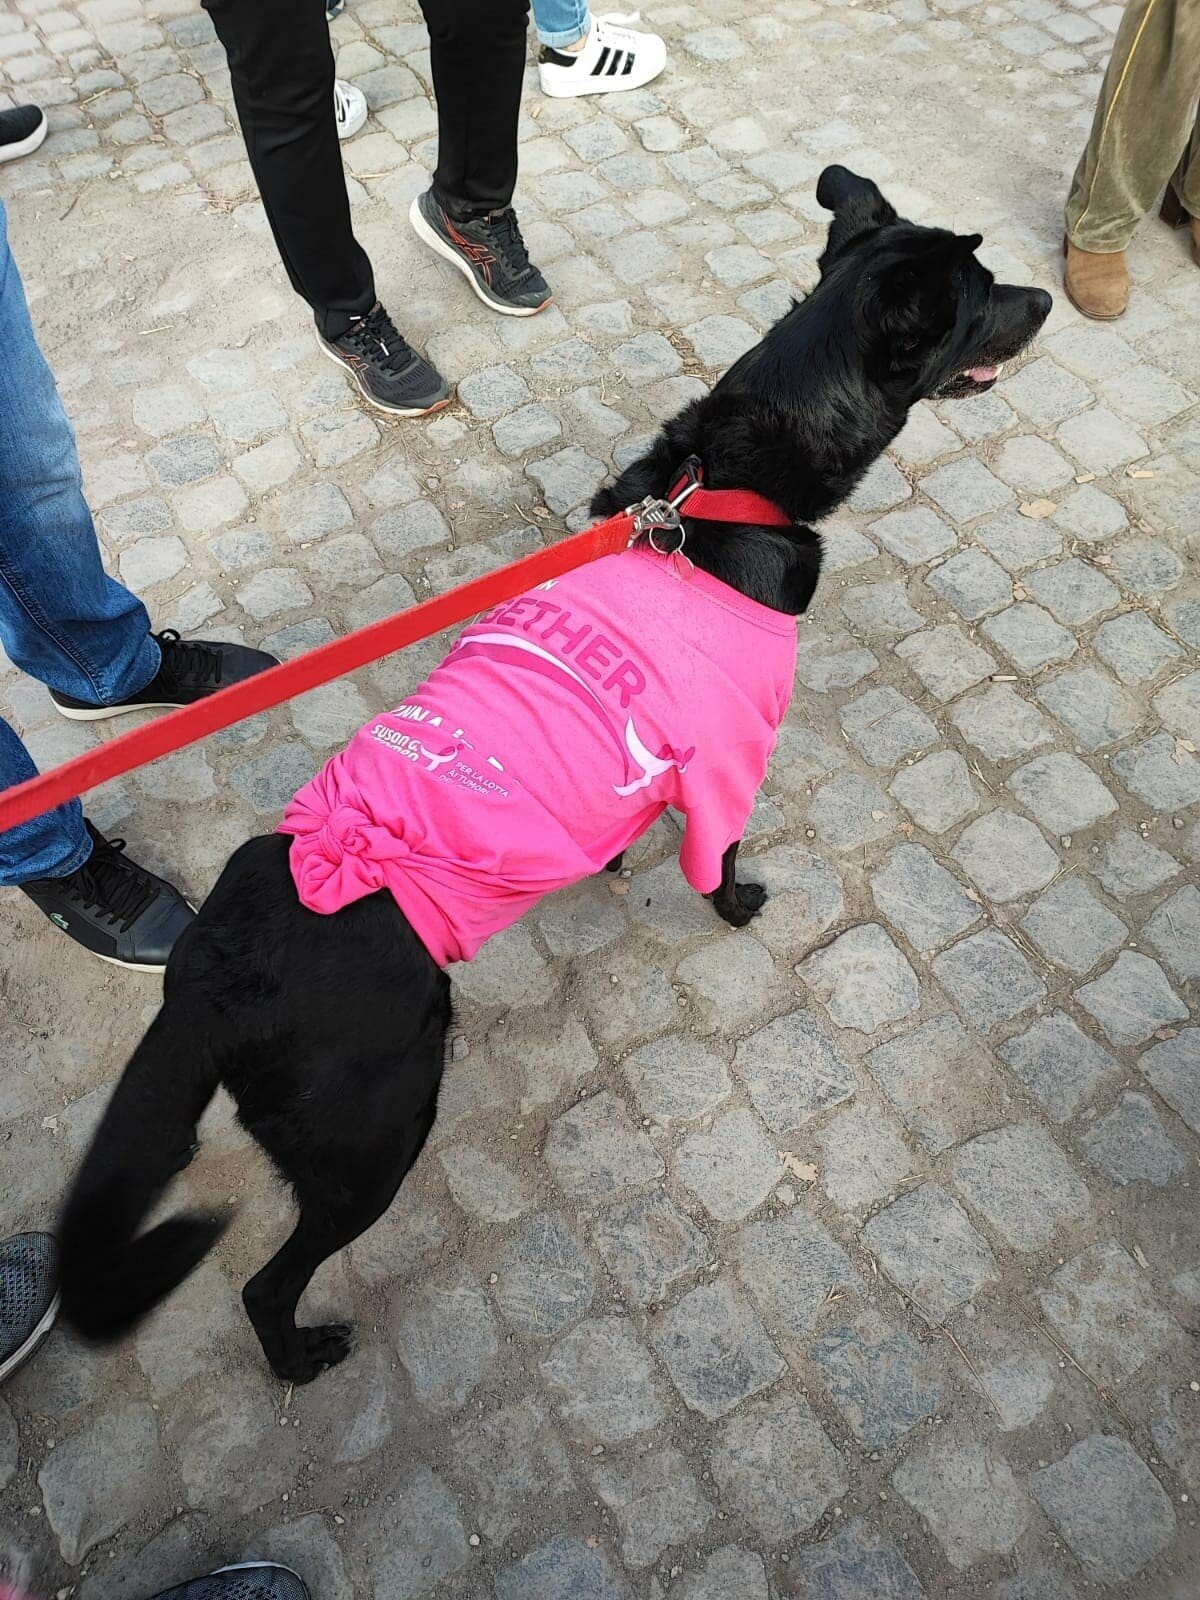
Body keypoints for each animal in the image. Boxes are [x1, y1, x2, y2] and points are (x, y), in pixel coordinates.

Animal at [57, 168, 1050, 1383]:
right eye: (982, 293)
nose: (1051, 300)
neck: (729, 489)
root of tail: (208, 977)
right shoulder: (730, 758)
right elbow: (721, 855)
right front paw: (737, 903)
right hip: (375, 1131)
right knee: (265, 1283)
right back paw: (301, 1354)